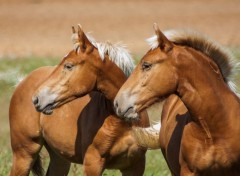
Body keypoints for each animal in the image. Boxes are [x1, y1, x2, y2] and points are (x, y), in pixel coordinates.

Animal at [9, 25, 148, 176]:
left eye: (68, 66)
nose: (37, 99)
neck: (121, 122)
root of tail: (22, 81)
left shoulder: (135, 166)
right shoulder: (92, 164)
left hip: (60, 159)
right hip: (24, 154)